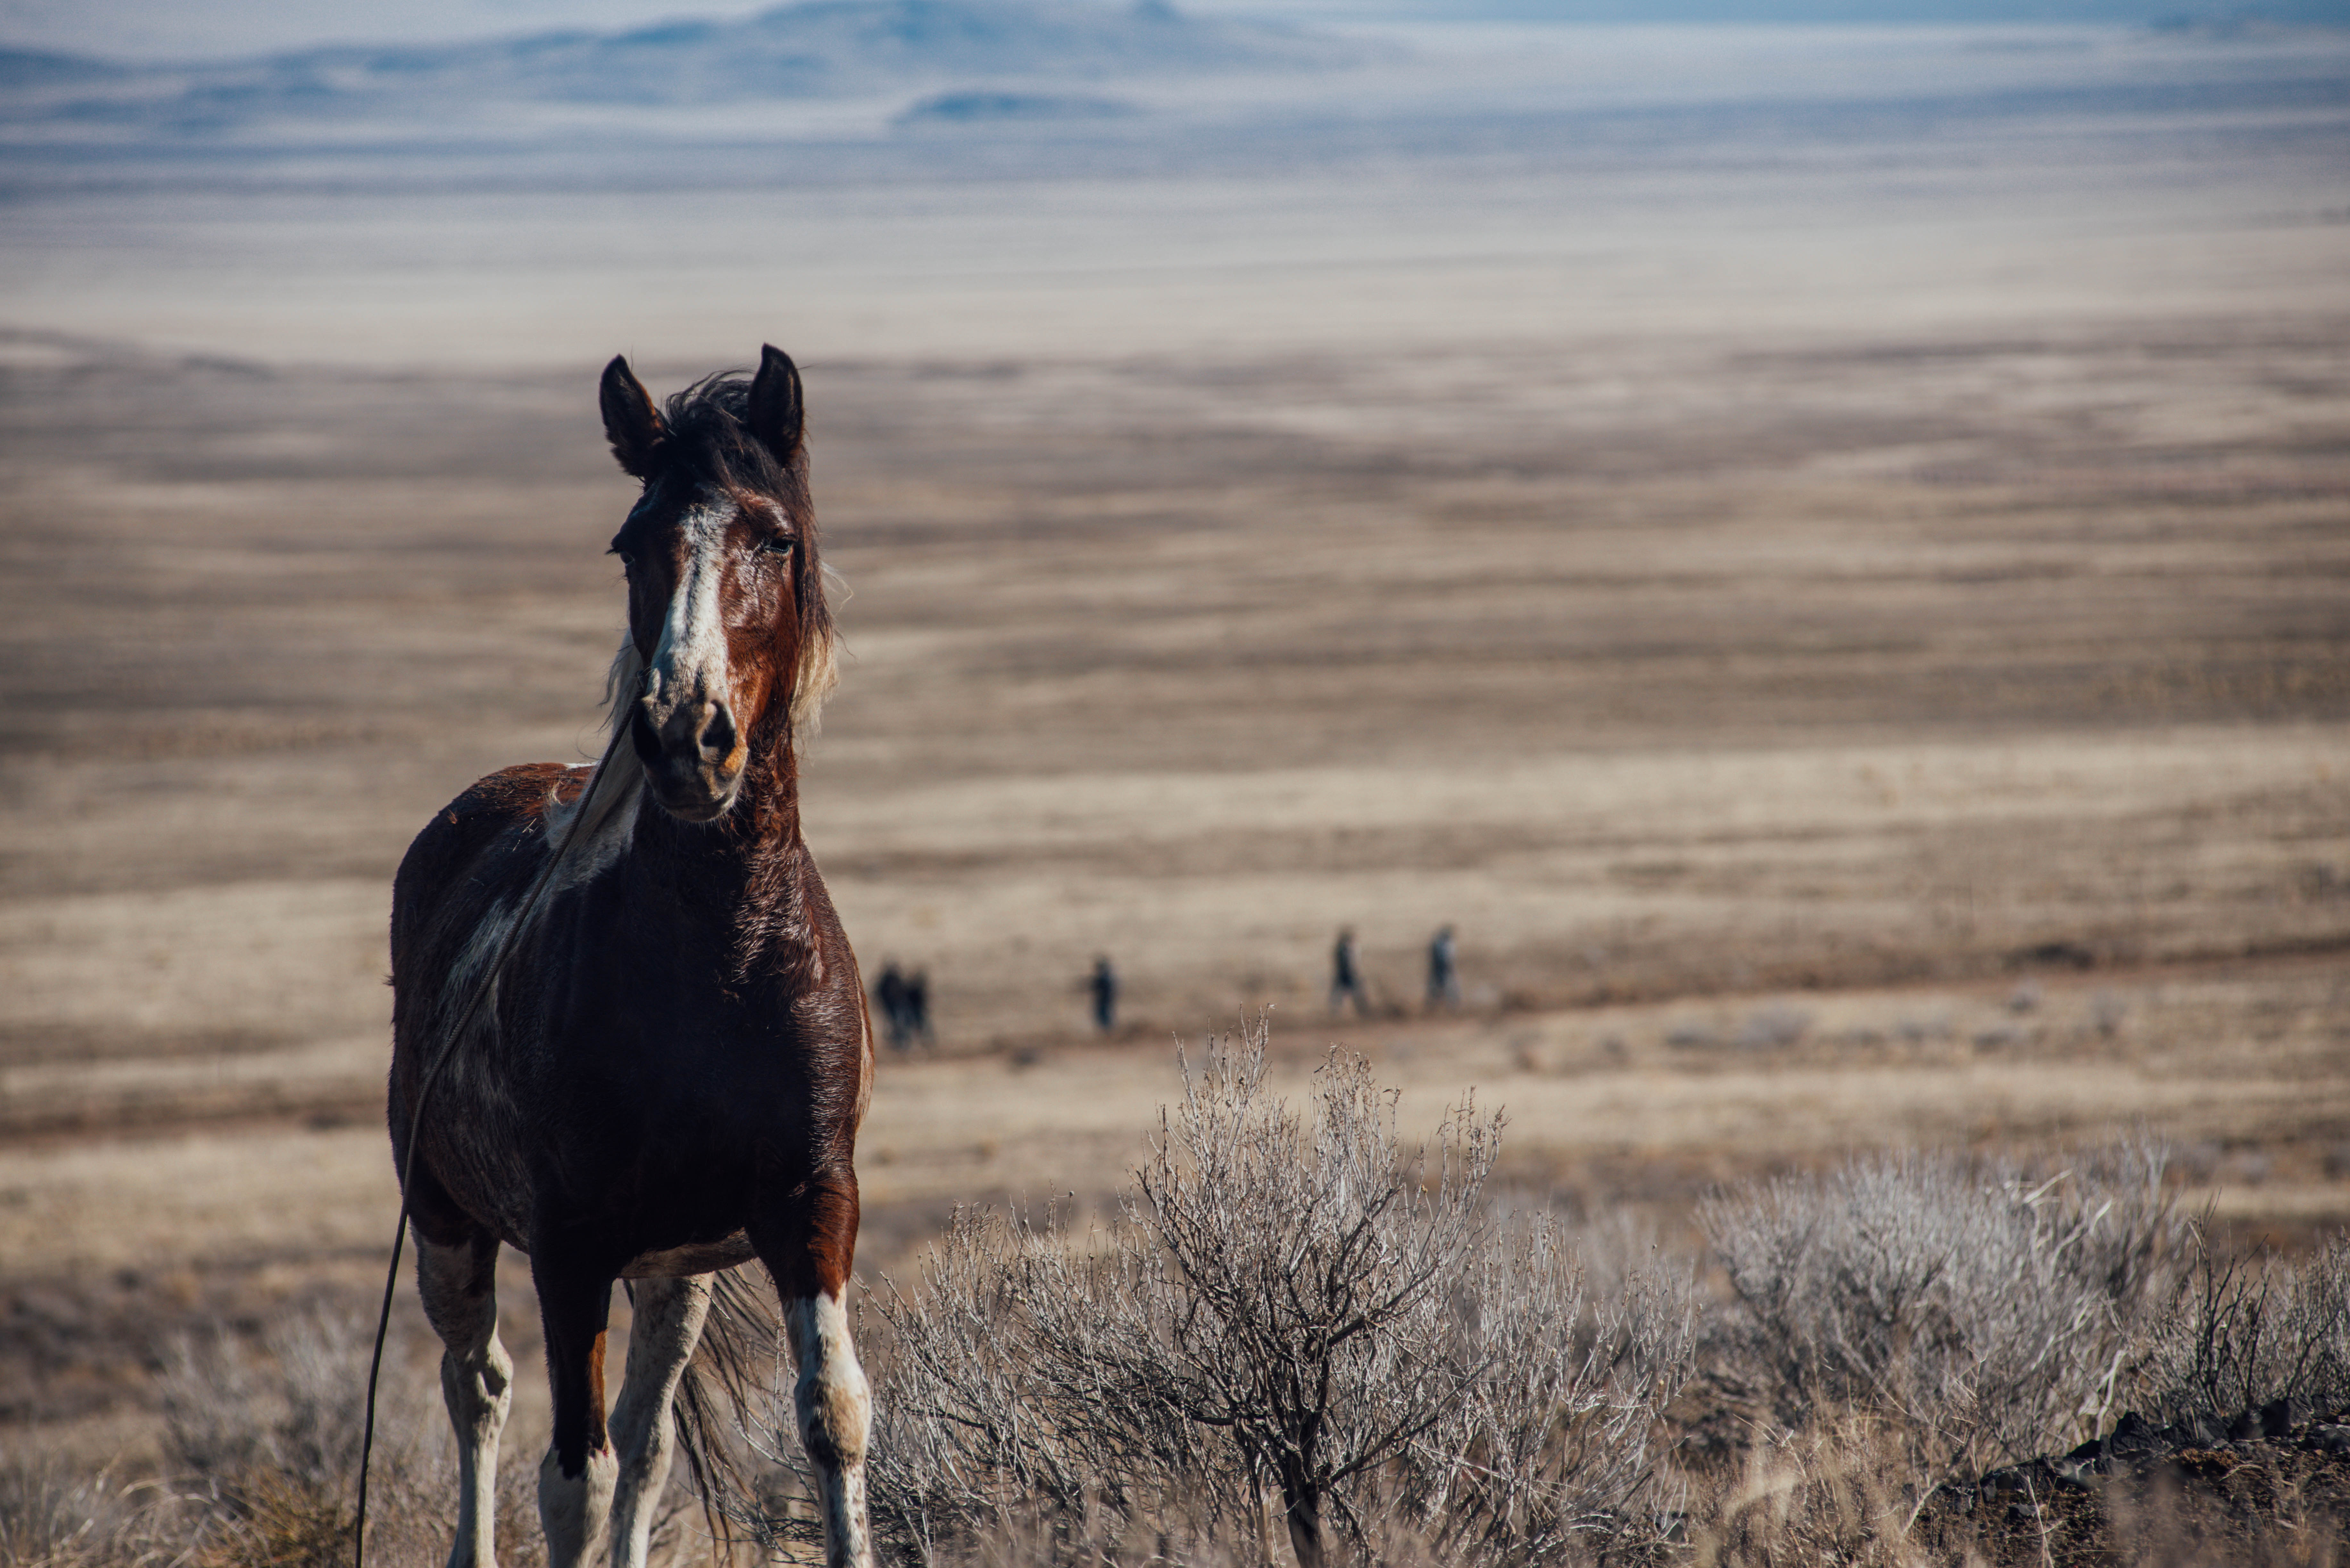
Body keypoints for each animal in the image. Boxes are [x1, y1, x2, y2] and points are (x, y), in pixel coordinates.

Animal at [390, 350, 879, 1568]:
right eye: (629, 544)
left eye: (774, 537)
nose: (686, 735)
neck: (721, 956)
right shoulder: (569, 1247)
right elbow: (571, 1474)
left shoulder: (811, 1205)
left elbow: (832, 1415)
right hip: (447, 1221)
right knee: (479, 1387)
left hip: (676, 1275)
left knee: (648, 1436)